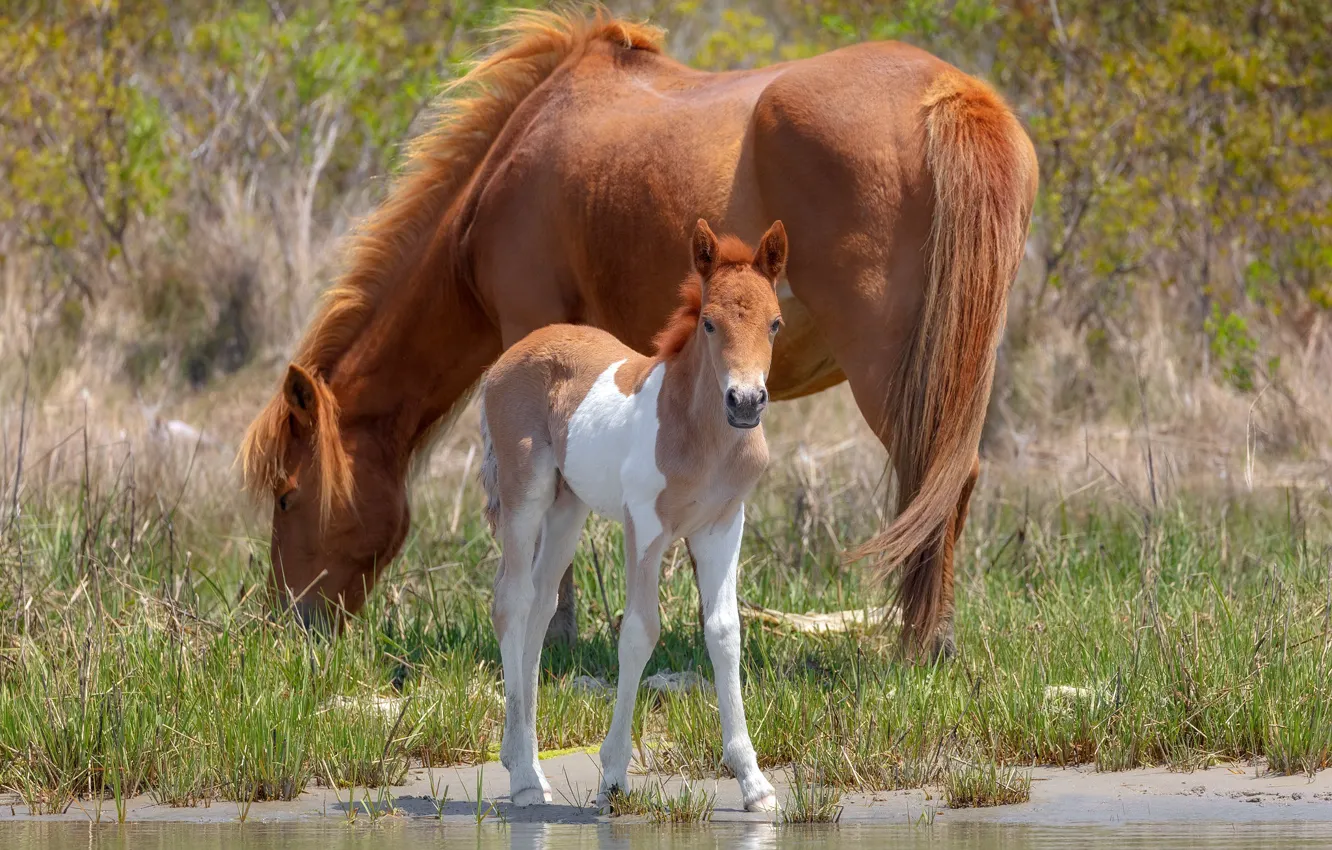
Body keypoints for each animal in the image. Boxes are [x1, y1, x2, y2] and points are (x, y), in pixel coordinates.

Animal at [239, 9, 1038, 656]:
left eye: (286, 496)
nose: (286, 625)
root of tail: (952, 95)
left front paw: (549, 635)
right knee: (947, 480)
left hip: (890, 369)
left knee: (931, 477)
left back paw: (921, 645)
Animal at [481, 219, 786, 809]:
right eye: (709, 323)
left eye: (776, 323)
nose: (744, 402)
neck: (699, 436)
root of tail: (503, 361)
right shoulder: (644, 527)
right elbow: (640, 631)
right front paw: (613, 776)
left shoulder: (723, 526)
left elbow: (724, 632)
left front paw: (755, 784)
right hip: (525, 493)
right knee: (512, 601)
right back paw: (526, 779)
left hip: (567, 507)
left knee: (540, 605)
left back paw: (524, 761)